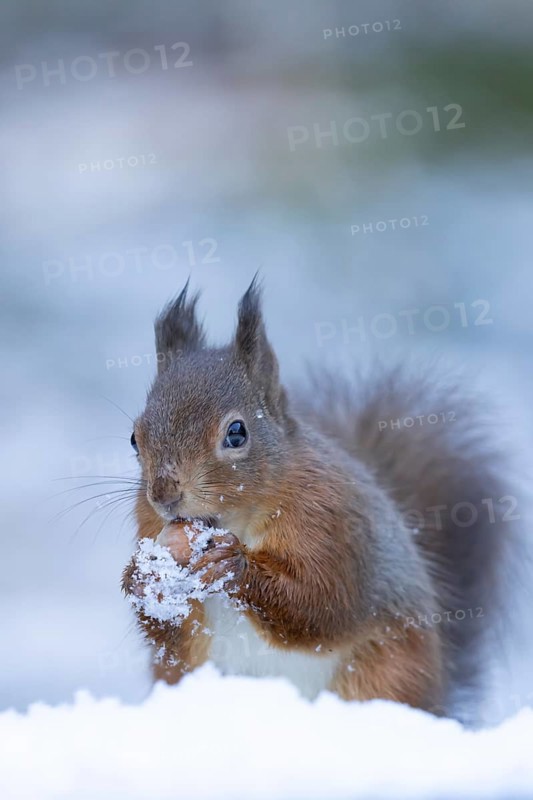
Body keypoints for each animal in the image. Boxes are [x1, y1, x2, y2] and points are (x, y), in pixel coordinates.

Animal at [122, 277, 518, 720]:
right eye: (135, 437)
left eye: (237, 433)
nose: (163, 494)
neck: (241, 523)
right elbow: (175, 636)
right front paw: (144, 577)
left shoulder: (334, 524)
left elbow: (322, 603)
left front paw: (234, 564)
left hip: (388, 673)